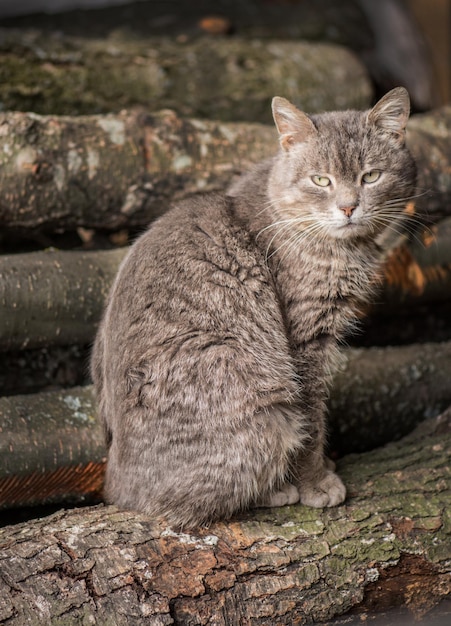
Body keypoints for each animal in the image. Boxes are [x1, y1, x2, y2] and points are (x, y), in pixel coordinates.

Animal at [92, 88, 416, 528]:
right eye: (321, 180)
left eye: (371, 177)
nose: (349, 207)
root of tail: (118, 487)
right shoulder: (305, 342)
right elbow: (312, 421)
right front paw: (316, 482)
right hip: (257, 390)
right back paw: (277, 489)